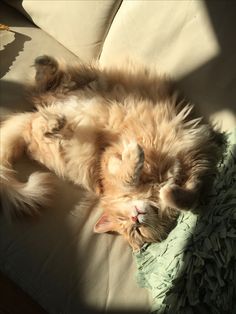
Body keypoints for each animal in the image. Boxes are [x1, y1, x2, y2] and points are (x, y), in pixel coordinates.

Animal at [0, 55, 224, 250]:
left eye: (137, 231)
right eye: (127, 225)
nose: (135, 218)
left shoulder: (197, 161)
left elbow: (189, 196)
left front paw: (168, 192)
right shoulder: (107, 158)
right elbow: (128, 175)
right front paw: (135, 156)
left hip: (78, 85)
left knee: (42, 90)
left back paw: (46, 73)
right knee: (38, 109)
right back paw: (52, 111)